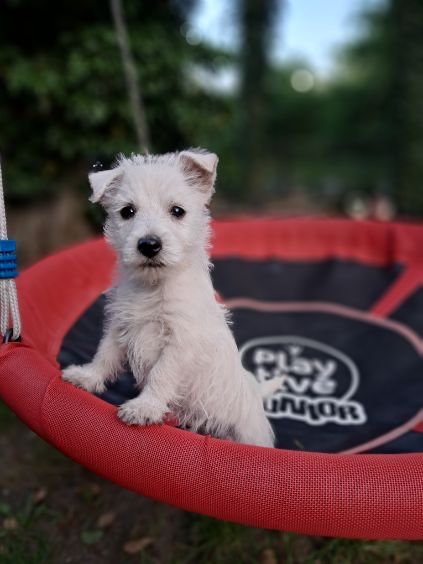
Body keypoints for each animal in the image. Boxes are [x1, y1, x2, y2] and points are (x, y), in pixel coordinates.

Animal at [62, 149, 278, 446]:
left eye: (177, 211)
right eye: (127, 211)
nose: (149, 245)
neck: (154, 286)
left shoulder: (180, 341)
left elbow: (161, 374)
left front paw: (144, 407)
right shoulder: (119, 325)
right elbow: (104, 354)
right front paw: (86, 376)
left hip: (250, 433)